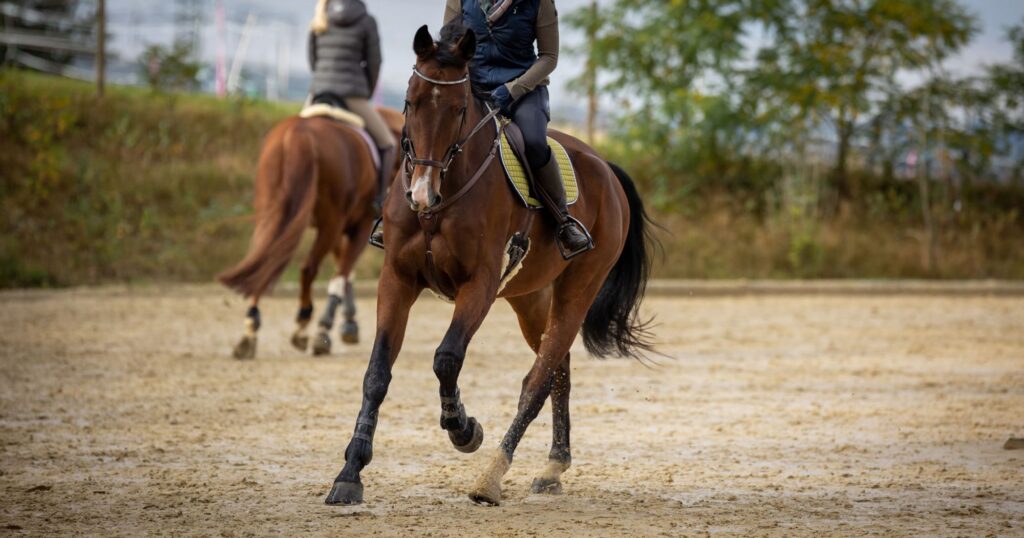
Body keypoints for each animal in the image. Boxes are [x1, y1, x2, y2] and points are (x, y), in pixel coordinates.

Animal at [218, 105, 401, 358]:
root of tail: (297, 133)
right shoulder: (358, 225)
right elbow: (343, 271)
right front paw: (328, 329)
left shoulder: (340, 227)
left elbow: (344, 270)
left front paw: (348, 324)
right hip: (331, 221)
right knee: (308, 268)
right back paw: (305, 326)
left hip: (273, 211)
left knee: (264, 261)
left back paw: (250, 330)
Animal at [321, 23, 655, 506]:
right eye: (410, 101)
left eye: (460, 109)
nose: (421, 193)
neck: (443, 198)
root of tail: (604, 167)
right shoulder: (397, 280)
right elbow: (377, 373)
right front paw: (350, 472)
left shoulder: (478, 285)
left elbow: (446, 358)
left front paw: (464, 429)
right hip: (531, 299)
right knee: (559, 370)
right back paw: (553, 466)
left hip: (577, 290)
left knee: (537, 381)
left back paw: (491, 476)